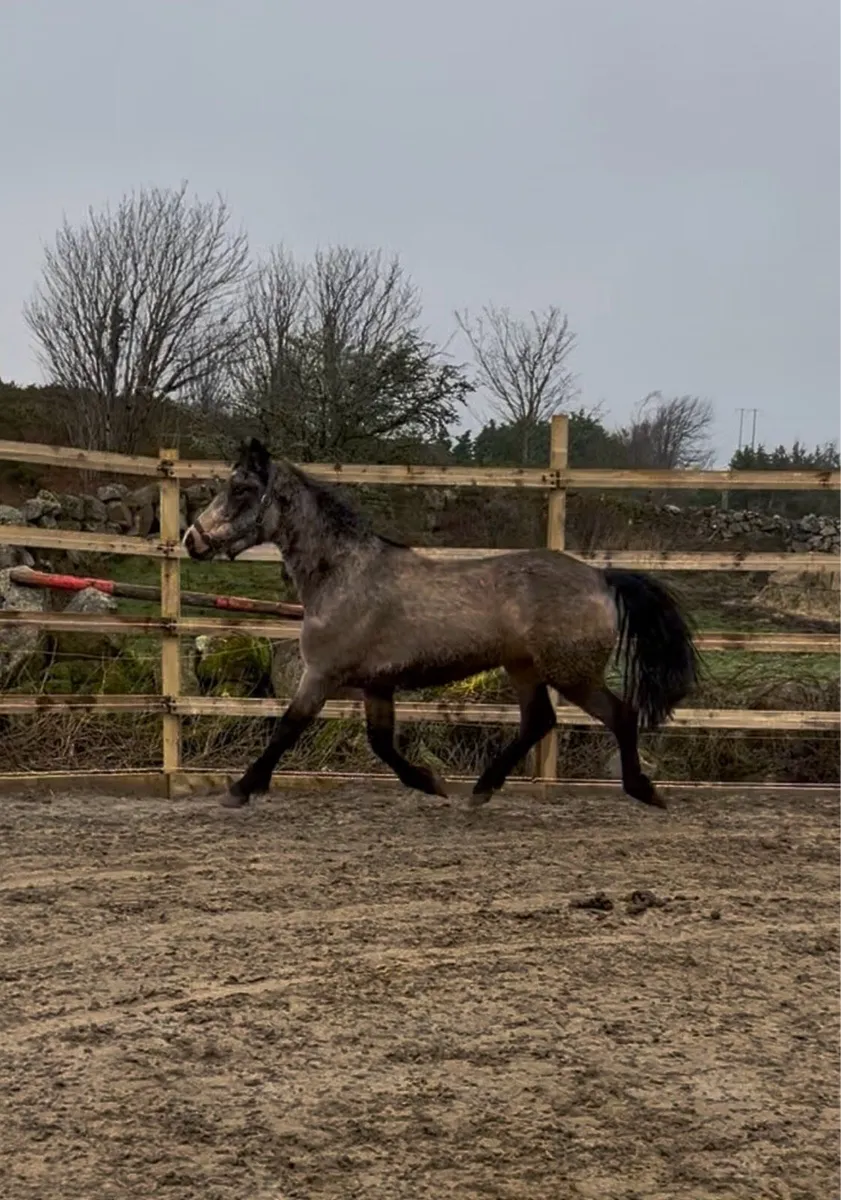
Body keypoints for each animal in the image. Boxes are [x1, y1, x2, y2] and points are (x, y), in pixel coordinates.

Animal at [184, 438, 700, 810]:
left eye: (242, 490)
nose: (193, 540)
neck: (344, 574)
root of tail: (599, 577)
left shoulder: (322, 675)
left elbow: (287, 728)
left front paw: (240, 788)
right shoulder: (377, 685)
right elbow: (381, 744)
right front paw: (429, 782)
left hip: (570, 673)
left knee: (620, 715)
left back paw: (645, 792)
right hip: (524, 668)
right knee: (539, 721)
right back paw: (481, 789)